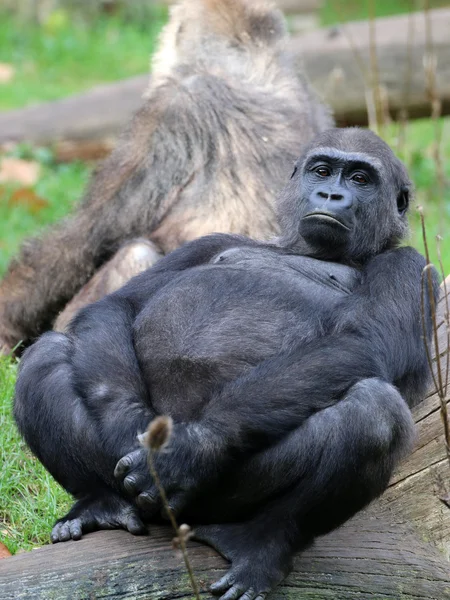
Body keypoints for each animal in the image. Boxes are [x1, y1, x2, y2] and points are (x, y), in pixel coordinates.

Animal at [14, 127, 440, 600]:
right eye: (322, 171)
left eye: (361, 179)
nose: (331, 195)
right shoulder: (211, 241)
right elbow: (118, 305)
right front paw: (130, 424)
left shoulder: (412, 267)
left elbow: (361, 343)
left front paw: (189, 449)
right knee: (48, 354)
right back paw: (99, 503)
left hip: (222, 499)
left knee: (374, 411)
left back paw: (263, 543)